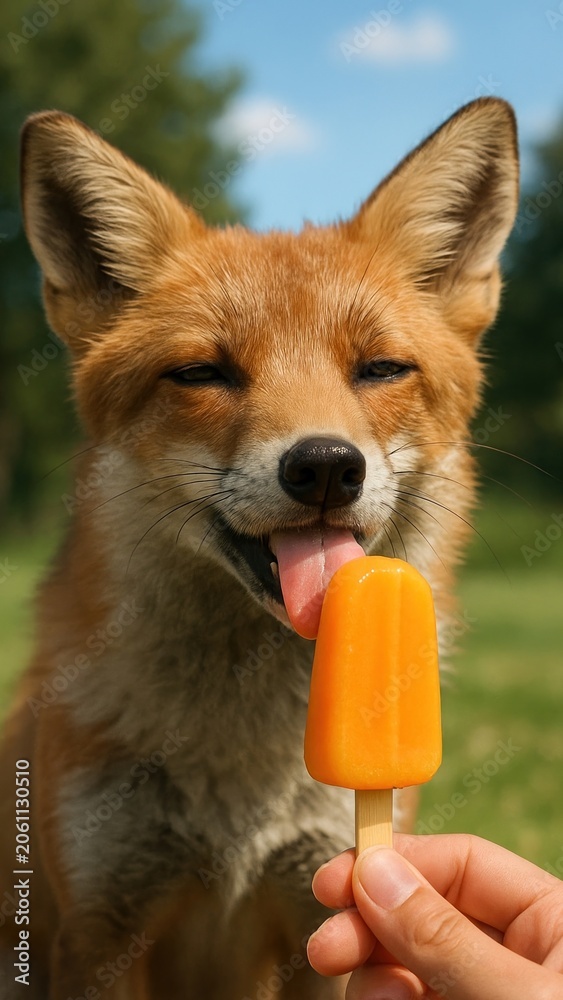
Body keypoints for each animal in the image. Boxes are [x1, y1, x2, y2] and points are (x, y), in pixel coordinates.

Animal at [0, 98, 518, 999]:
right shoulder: (98, 930)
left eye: (380, 368)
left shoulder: (323, 912)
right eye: (202, 374)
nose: (325, 466)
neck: (240, 788)